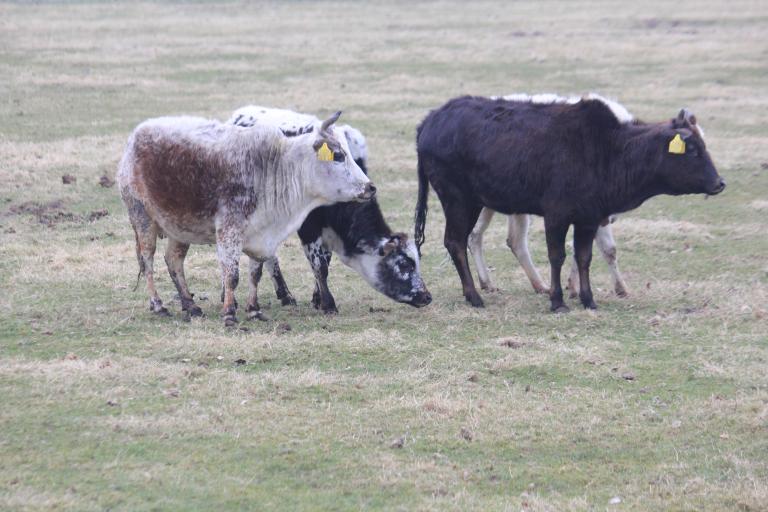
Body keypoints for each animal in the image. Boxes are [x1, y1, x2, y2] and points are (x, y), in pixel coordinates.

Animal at [228, 106, 432, 312]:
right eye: (404, 264)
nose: (426, 296)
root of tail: (241, 114)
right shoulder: (309, 228)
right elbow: (320, 266)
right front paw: (328, 304)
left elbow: (325, 261)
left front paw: (317, 298)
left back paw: (285, 295)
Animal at [416, 95, 724, 312]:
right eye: (692, 150)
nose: (720, 183)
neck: (608, 150)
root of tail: (430, 120)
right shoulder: (557, 215)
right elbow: (558, 256)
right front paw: (558, 301)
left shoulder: (589, 218)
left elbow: (584, 257)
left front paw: (588, 299)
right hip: (458, 200)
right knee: (456, 242)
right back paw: (474, 296)